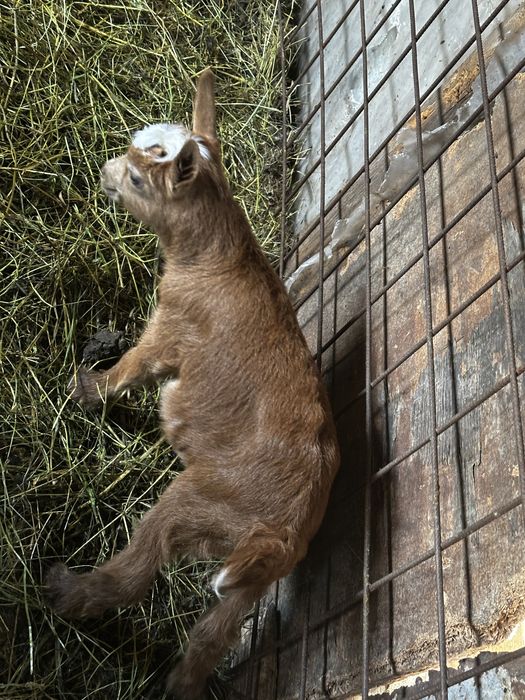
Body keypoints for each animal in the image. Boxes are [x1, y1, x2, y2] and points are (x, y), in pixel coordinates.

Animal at [45, 69, 340, 699]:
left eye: (138, 178)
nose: (105, 171)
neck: (213, 257)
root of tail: (283, 530)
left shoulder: (168, 333)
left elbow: (128, 372)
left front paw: (86, 389)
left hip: (196, 502)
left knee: (136, 572)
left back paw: (65, 590)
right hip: (248, 579)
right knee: (210, 637)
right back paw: (180, 683)